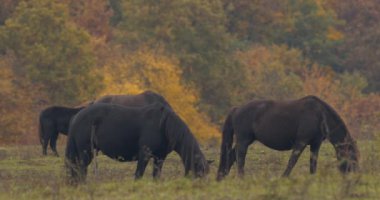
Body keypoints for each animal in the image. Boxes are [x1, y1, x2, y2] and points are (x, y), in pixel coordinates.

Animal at [65, 102, 208, 184]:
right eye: (199, 171)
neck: (163, 125)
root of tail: (77, 116)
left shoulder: (160, 157)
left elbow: (156, 176)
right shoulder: (144, 154)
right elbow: (138, 175)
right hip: (85, 153)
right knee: (81, 171)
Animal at [217, 94, 360, 180]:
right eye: (352, 157)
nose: (355, 175)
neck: (319, 115)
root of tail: (237, 109)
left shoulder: (315, 144)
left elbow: (313, 163)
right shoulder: (300, 142)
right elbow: (292, 161)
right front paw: (284, 177)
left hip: (247, 140)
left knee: (231, 156)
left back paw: (223, 177)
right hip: (243, 140)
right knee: (240, 158)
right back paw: (241, 178)